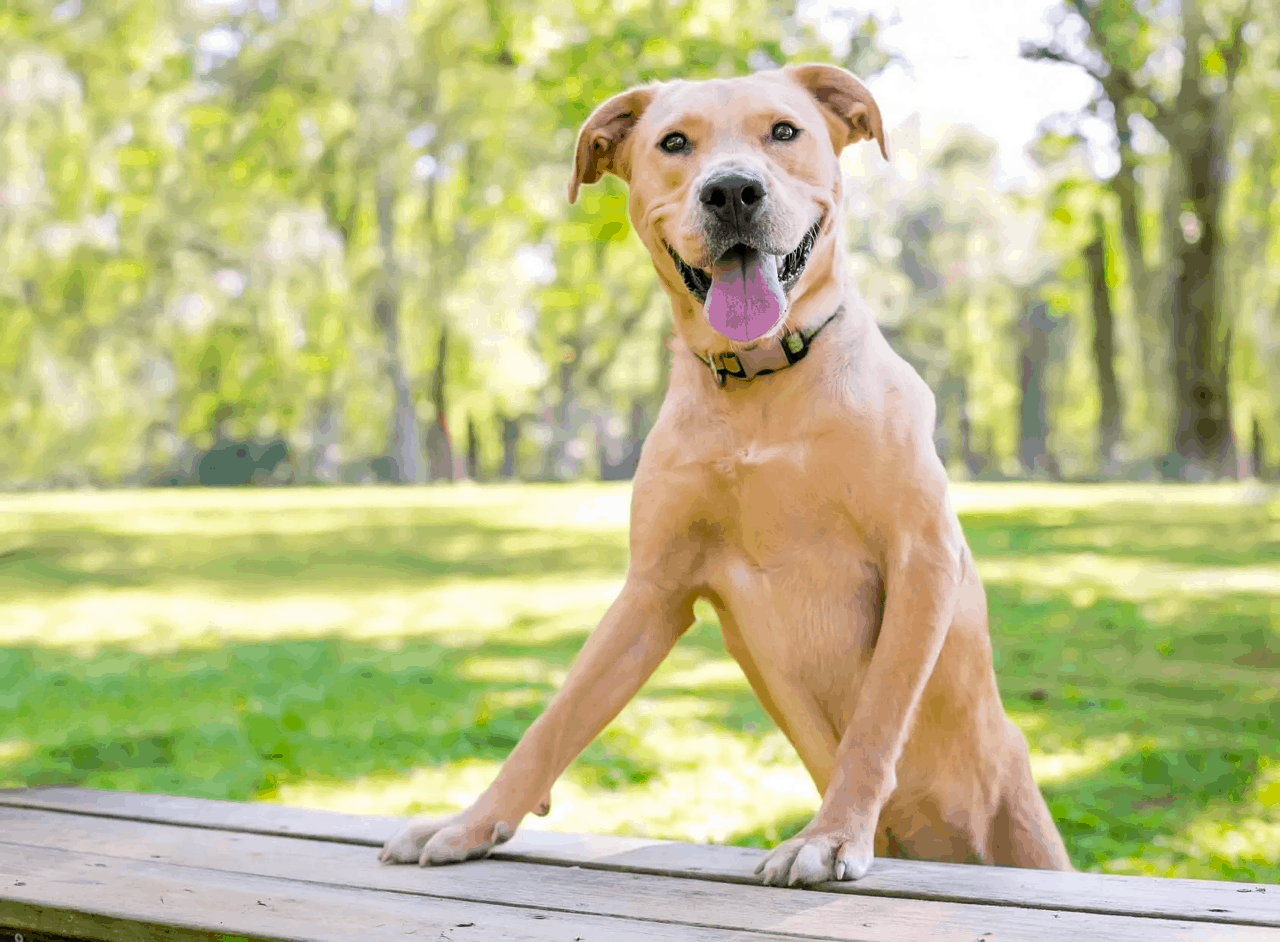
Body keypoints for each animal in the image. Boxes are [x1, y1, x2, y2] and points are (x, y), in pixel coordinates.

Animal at [376, 62, 1070, 885]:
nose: (733, 190)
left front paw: (832, 834)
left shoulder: (921, 558)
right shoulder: (654, 589)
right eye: (675, 143)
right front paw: (472, 822)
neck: (763, 383)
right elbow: (556, 719)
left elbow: (875, 720)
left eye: (784, 131)